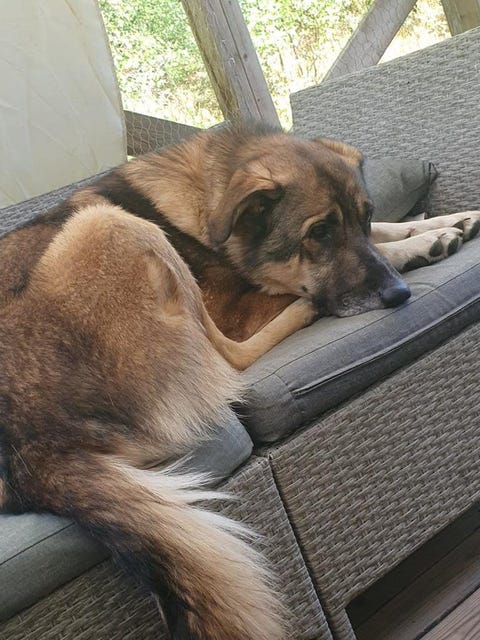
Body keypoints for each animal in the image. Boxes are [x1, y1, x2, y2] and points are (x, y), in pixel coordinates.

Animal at [0, 122, 479, 639]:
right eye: (319, 232)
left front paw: (452, 221)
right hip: (109, 225)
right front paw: (420, 244)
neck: (208, 202)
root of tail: (30, 451)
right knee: (230, 359)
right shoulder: (237, 310)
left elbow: (388, 229)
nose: (399, 293)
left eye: (362, 217)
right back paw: (306, 309)